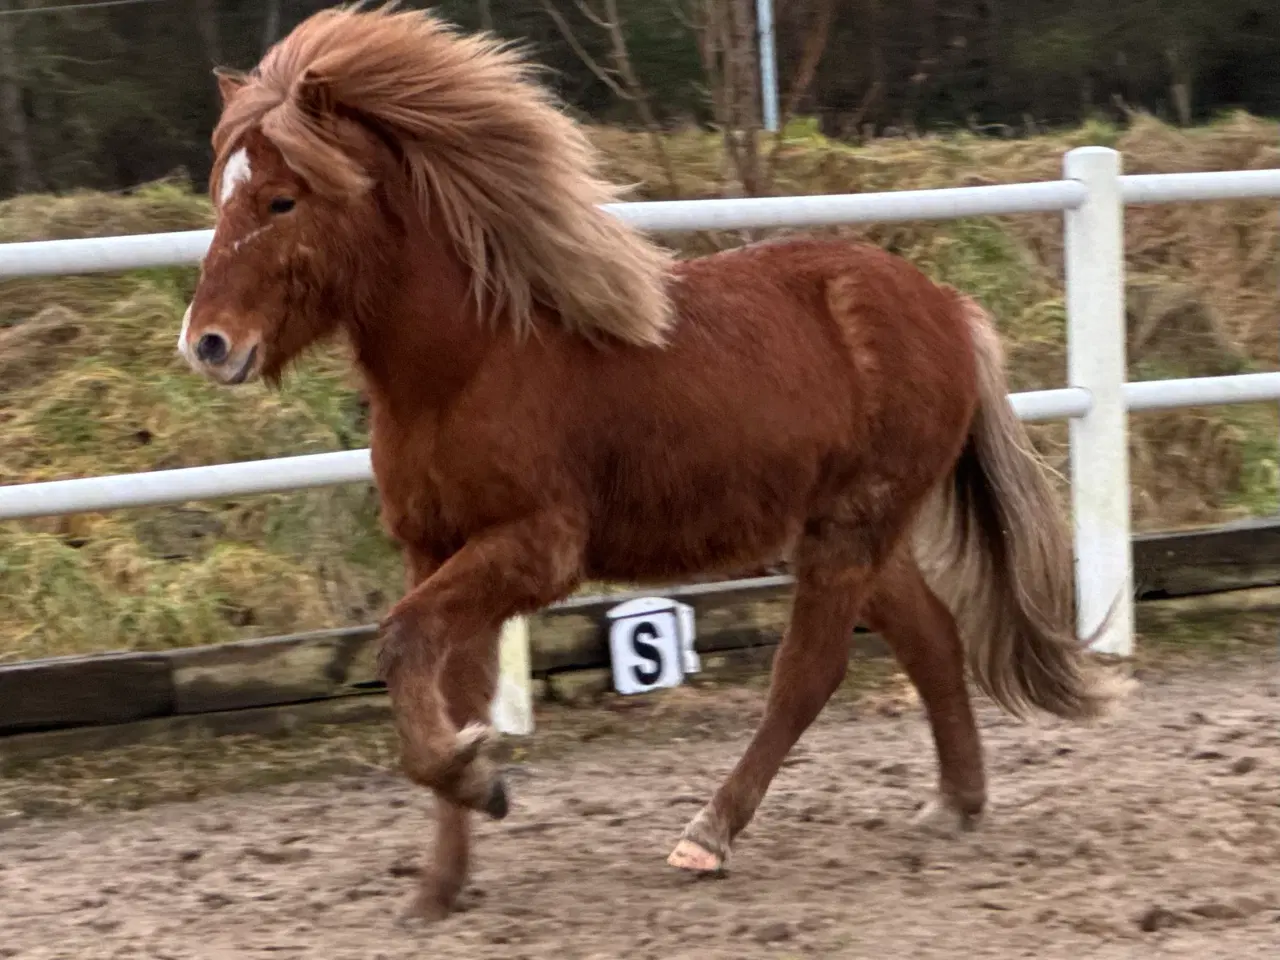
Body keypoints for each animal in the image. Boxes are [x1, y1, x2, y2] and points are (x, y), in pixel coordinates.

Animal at [183, 7, 1131, 926]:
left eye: (281, 199)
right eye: (221, 193)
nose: (208, 344)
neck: (472, 361)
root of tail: (945, 305)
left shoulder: (535, 548)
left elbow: (405, 643)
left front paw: (477, 778)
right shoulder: (435, 548)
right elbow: (450, 683)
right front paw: (440, 881)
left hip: (850, 530)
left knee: (810, 672)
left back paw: (709, 833)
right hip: (852, 531)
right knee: (931, 639)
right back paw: (955, 802)